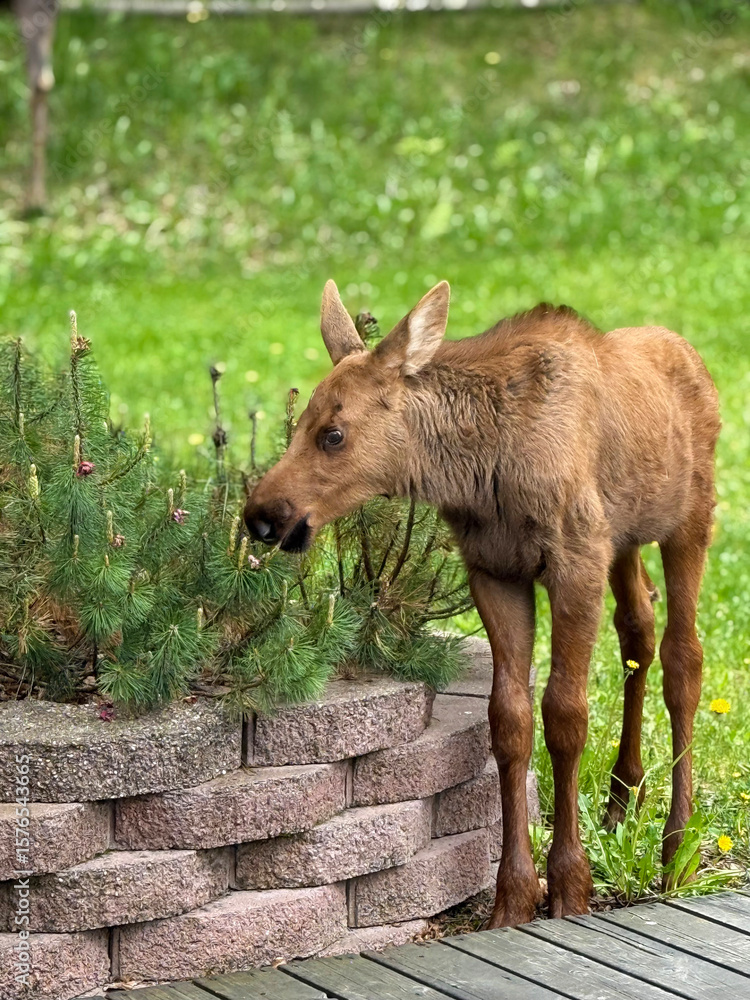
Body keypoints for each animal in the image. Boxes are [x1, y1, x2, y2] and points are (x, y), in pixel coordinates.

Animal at [244, 279, 720, 927]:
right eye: (299, 426)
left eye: (333, 434)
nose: (261, 516)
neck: (480, 471)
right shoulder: (496, 571)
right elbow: (509, 720)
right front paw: (514, 895)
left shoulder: (574, 562)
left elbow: (565, 715)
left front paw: (569, 886)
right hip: (622, 538)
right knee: (638, 630)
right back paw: (623, 798)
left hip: (689, 522)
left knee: (683, 658)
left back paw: (679, 849)